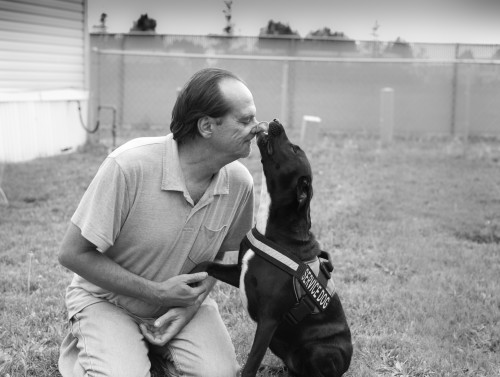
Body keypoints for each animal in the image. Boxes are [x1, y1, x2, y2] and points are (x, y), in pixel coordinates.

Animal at [191, 119, 352, 374]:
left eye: (294, 148)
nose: (276, 122)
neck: (274, 231)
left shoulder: (269, 320)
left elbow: (252, 360)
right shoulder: (239, 272)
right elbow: (206, 264)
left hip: (320, 350)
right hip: (281, 345)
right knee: (292, 368)